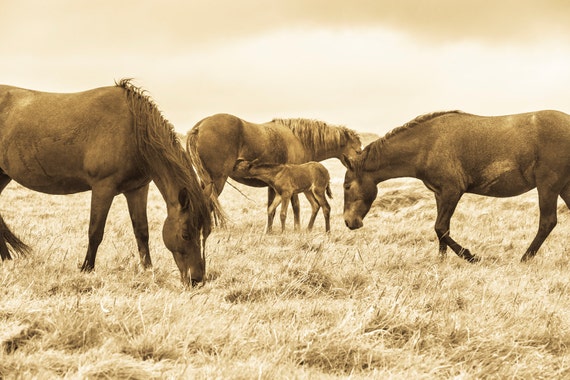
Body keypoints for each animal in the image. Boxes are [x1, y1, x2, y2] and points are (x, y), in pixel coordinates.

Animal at [0, 79, 220, 284]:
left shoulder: (138, 189)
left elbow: (142, 231)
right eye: (185, 234)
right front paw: (86, 269)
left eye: (207, 232)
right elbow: (95, 231)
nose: (197, 279)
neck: (133, 130)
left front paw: (148, 269)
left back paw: (7, 259)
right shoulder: (103, 188)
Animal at [186, 113, 360, 232]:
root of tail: (199, 127)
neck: (299, 140)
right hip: (217, 180)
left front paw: (269, 230)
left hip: (205, 179)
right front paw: (296, 229)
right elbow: (295, 207)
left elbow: (272, 209)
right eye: (358, 151)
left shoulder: (274, 186)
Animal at [340, 110, 568, 262]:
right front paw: (441, 260)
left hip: (548, 186)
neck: (428, 144)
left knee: (547, 222)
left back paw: (524, 258)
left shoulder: (452, 191)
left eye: (347, 186)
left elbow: (440, 228)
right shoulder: (440, 194)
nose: (349, 222)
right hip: (564, 187)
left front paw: (470, 256)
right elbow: (442, 229)